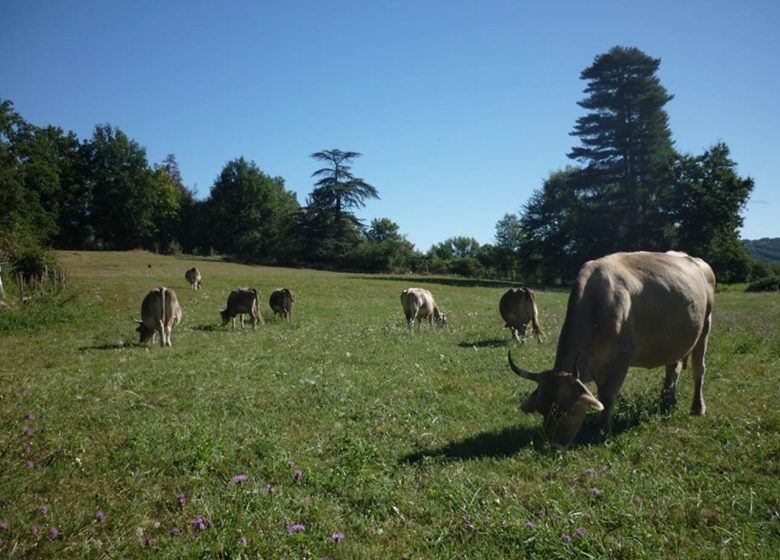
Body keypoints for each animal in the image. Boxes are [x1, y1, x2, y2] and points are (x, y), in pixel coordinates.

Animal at [508, 253, 716, 450]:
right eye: (542, 409)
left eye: (566, 409)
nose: (555, 446)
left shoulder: (619, 363)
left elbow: (607, 398)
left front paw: (604, 434)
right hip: (674, 341)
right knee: (673, 368)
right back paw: (667, 403)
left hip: (705, 326)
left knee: (699, 369)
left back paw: (697, 407)